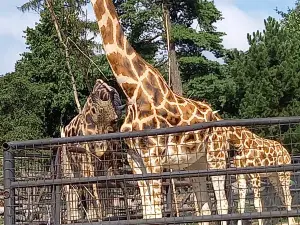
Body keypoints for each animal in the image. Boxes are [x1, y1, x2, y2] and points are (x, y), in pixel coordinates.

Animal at [62, 78, 125, 221]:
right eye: (95, 114)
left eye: (116, 121)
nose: (100, 147)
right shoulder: (85, 159)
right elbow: (90, 184)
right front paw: (93, 215)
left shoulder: (106, 162)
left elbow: (105, 185)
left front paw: (107, 214)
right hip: (67, 161)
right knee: (71, 185)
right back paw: (73, 217)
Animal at [90, 0, 229, 223]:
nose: (100, 149)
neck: (132, 89)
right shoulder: (135, 160)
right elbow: (149, 213)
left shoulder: (153, 159)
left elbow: (157, 212)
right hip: (196, 163)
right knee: (205, 207)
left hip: (216, 155)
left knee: (223, 204)